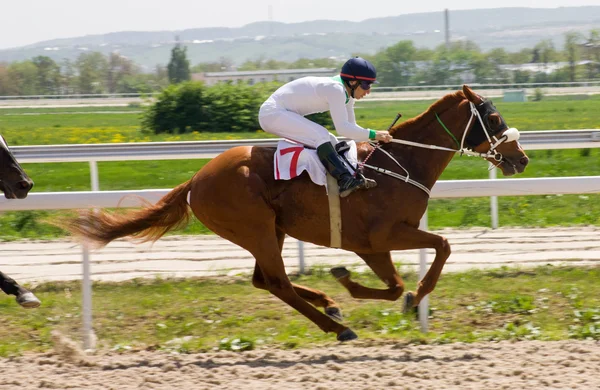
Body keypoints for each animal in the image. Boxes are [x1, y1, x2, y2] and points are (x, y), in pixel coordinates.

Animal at [63, 86, 528, 342]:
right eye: (493, 117)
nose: (520, 158)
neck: (401, 164)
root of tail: (196, 179)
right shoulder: (380, 238)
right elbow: (437, 251)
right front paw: (411, 298)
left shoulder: (374, 245)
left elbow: (400, 280)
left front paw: (371, 292)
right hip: (256, 229)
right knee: (278, 283)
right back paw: (336, 325)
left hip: (271, 231)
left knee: (264, 280)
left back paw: (329, 306)